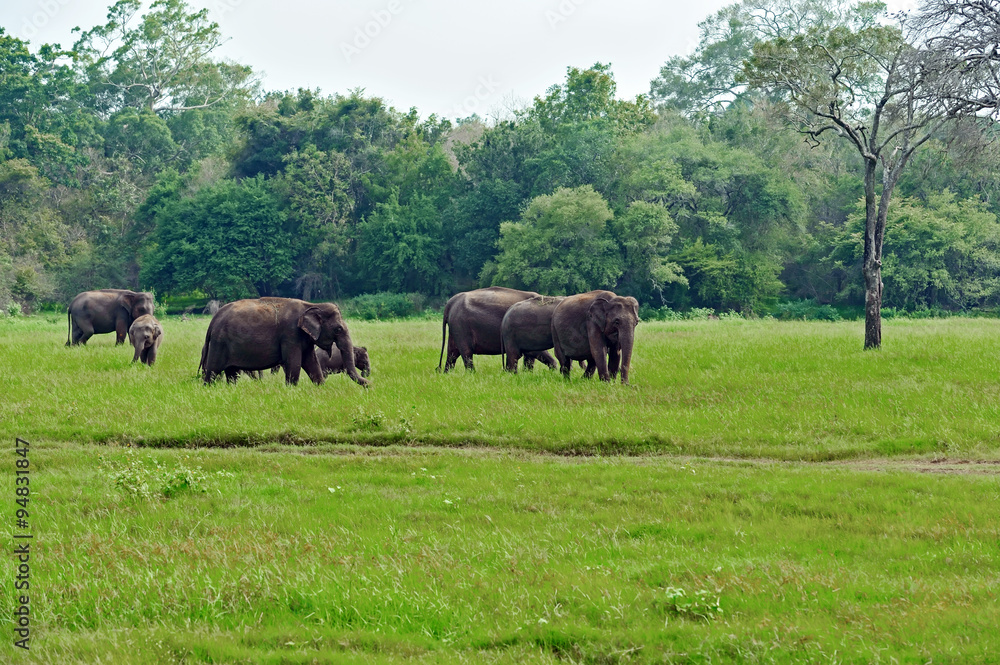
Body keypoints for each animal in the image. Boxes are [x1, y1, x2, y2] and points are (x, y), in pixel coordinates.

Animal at [198, 296, 368, 384]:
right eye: (338, 329)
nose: (370, 385)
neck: (311, 305)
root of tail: (213, 319)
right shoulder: (290, 334)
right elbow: (294, 363)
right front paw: (292, 391)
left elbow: (311, 363)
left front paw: (321, 388)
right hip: (219, 344)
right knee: (213, 372)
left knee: (232, 373)